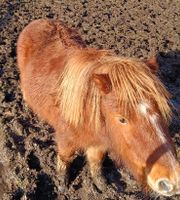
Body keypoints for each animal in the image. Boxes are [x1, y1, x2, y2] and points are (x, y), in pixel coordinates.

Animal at [17, 19, 180, 196]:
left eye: (160, 110)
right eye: (122, 119)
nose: (171, 181)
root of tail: (40, 21)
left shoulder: (99, 144)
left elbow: (96, 163)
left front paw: (102, 185)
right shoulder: (65, 140)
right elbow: (65, 159)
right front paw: (62, 184)